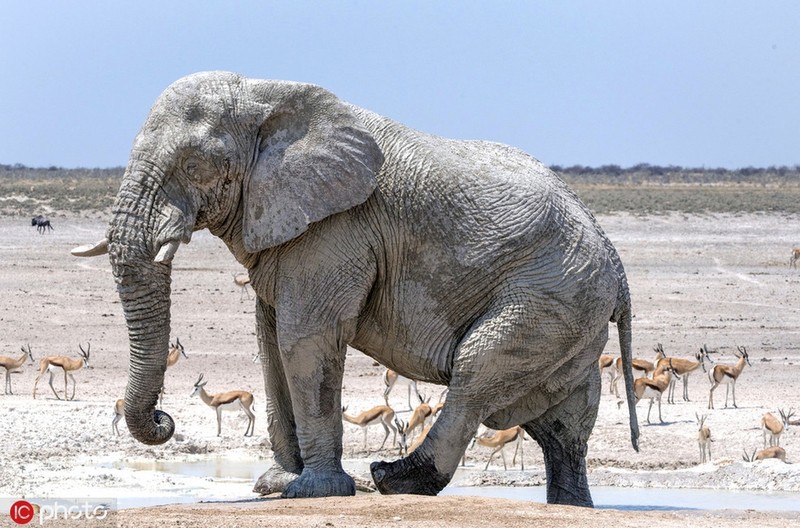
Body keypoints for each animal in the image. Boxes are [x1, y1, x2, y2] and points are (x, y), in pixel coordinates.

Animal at [73, 71, 636, 508]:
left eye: (194, 166)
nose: (163, 419)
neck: (264, 94)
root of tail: (614, 257)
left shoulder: (338, 227)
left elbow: (306, 339)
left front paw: (314, 492)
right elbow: (270, 343)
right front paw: (275, 485)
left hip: (549, 293)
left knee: (477, 372)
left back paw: (394, 479)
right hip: (572, 310)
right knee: (564, 420)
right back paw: (572, 506)